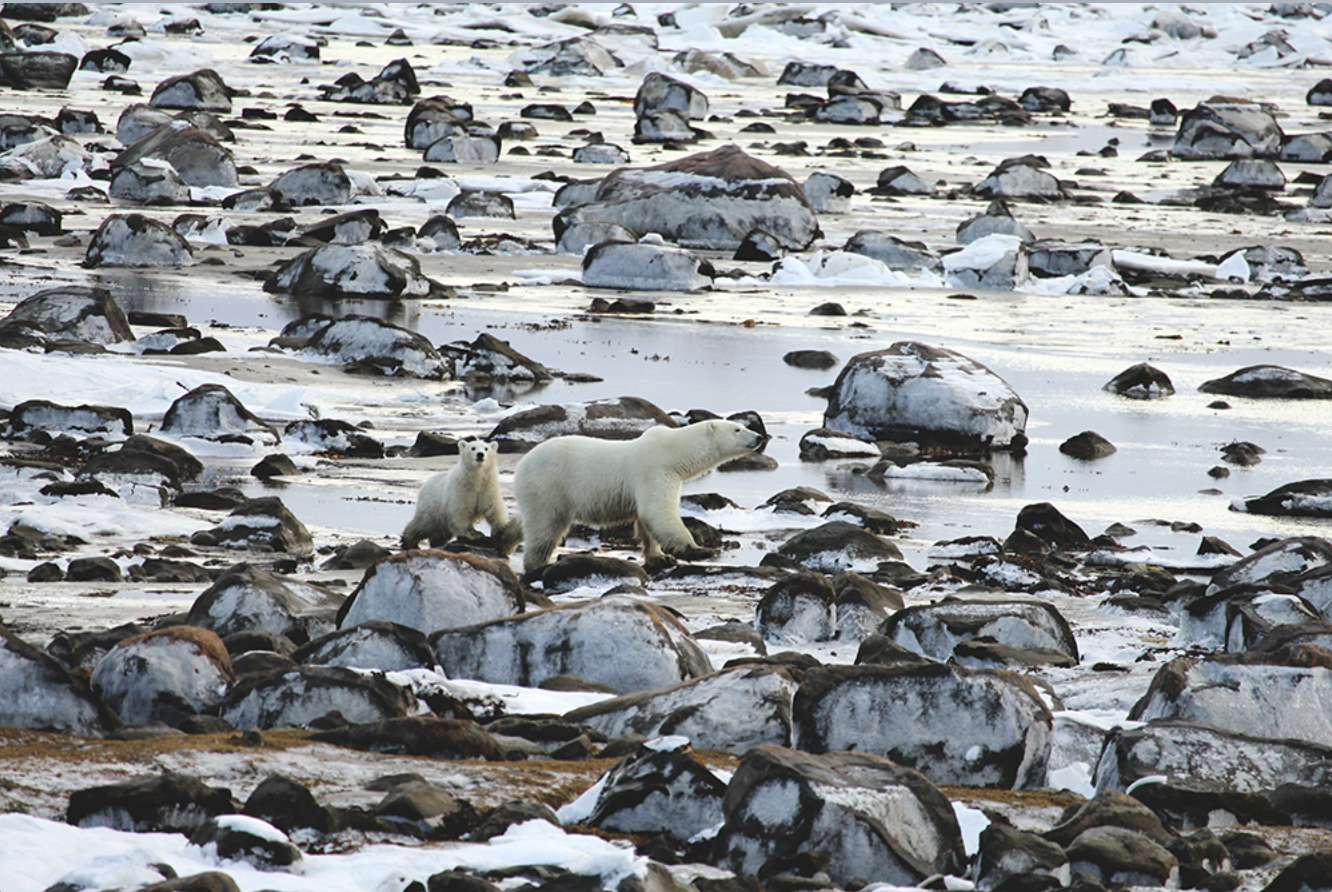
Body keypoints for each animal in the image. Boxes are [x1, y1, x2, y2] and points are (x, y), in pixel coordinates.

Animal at [519, 418, 772, 577]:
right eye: (737, 429)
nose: (759, 437)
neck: (673, 452)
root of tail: (523, 462)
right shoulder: (656, 470)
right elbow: (658, 512)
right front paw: (700, 550)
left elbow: (646, 522)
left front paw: (660, 557)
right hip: (548, 486)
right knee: (545, 526)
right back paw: (537, 565)